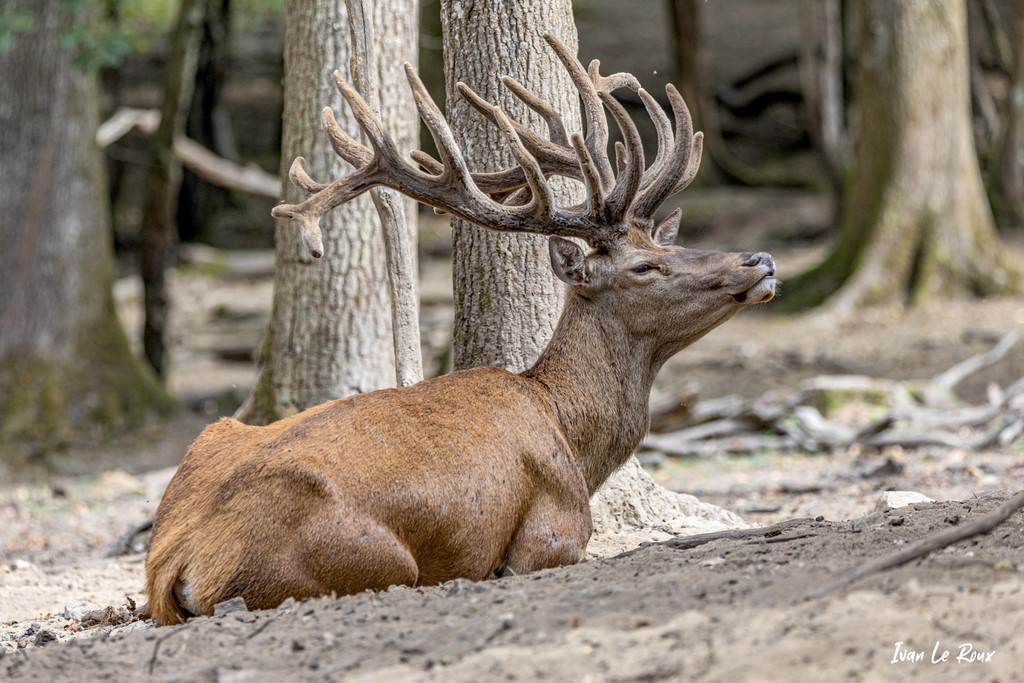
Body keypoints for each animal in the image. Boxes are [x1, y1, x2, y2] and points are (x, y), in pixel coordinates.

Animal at [145, 33, 776, 625]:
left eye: (671, 243)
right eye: (644, 266)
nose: (761, 259)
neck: (572, 435)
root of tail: (176, 562)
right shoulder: (554, 531)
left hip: (214, 434)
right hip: (371, 559)